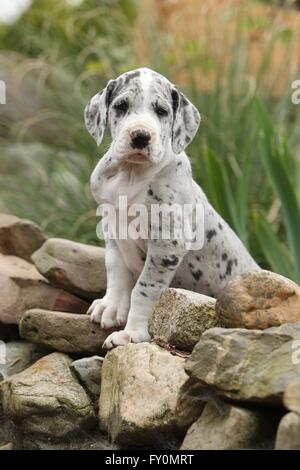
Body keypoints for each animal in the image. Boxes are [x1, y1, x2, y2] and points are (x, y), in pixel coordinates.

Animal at [84, 69, 260, 348]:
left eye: (161, 111)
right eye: (121, 106)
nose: (141, 136)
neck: (132, 174)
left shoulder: (167, 245)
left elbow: (144, 290)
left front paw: (132, 333)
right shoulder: (112, 229)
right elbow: (115, 271)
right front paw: (110, 307)